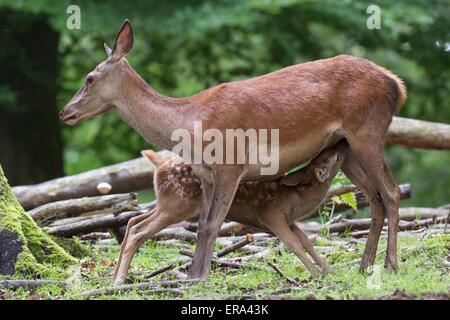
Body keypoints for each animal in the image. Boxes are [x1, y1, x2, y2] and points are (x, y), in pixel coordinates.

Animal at [60, 20, 408, 280]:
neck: (190, 124)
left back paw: (390, 264)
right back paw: (364, 265)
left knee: (391, 191)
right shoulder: (206, 175)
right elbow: (203, 225)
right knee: (375, 197)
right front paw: (194, 275)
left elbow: (213, 224)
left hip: (367, 130)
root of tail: (397, 85)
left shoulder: (231, 165)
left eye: (89, 78)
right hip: (347, 150)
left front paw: (198, 276)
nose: (65, 112)